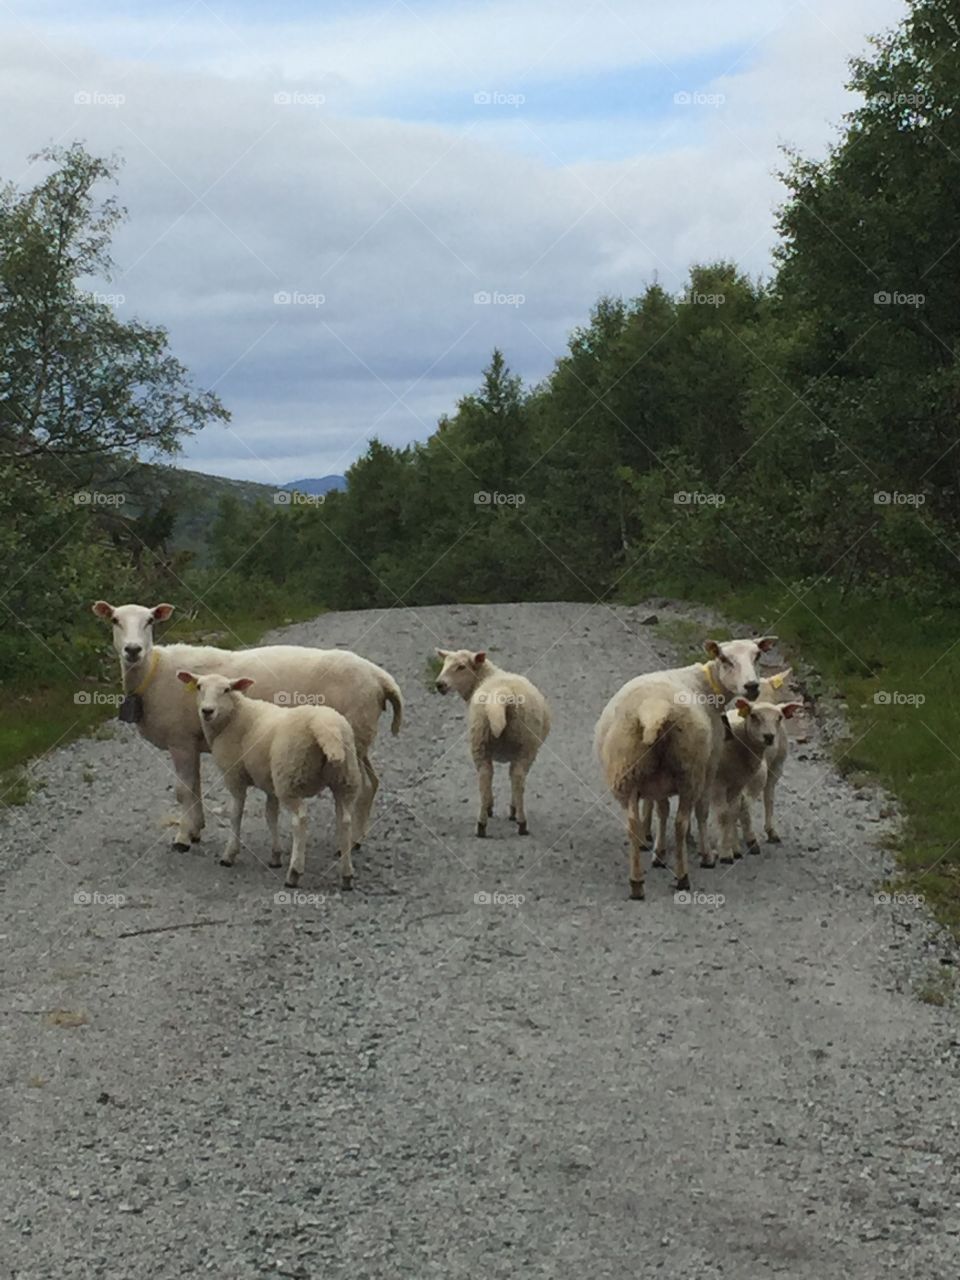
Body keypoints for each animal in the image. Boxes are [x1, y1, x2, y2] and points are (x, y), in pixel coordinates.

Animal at [91, 601, 402, 852]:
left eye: (150, 621)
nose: (133, 650)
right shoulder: (192, 741)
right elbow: (195, 786)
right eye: (115, 620)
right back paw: (359, 836)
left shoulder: (180, 740)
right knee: (372, 782)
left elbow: (183, 789)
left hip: (353, 732)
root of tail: (380, 678)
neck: (153, 674)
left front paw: (182, 837)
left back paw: (351, 842)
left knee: (362, 786)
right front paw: (195, 829)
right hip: (360, 736)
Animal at [177, 671, 361, 889]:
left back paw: (294, 873)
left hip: (290, 777)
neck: (234, 717)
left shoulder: (235, 776)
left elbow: (236, 814)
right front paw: (275, 856)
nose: (207, 711)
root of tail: (325, 729)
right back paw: (347, 875)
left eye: (227, 689)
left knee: (300, 820)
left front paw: (229, 855)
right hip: (345, 778)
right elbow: (270, 815)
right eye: (199, 686)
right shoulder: (269, 783)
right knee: (345, 820)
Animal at [434, 649, 551, 837]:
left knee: (486, 775)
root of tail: (502, 696)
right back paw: (518, 821)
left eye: (461, 667)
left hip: (481, 738)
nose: (439, 684)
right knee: (514, 776)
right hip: (525, 745)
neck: (486, 676)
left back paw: (482, 824)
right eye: (444, 664)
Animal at [595, 636, 777, 899]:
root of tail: (653, 712)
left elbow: (662, 811)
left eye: (758, 656)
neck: (707, 686)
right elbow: (701, 811)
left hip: (627, 772)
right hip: (689, 772)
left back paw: (636, 882)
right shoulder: (709, 766)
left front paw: (659, 853)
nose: (752, 686)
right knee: (680, 823)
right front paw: (706, 853)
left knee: (632, 824)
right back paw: (683, 877)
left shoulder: (658, 782)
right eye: (725, 659)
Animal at [711, 697, 803, 865]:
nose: (769, 736)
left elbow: (733, 811)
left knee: (767, 798)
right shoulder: (719, 784)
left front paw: (731, 847)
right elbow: (725, 814)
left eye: (779, 717)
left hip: (775, 766)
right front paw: (727, 851)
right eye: (753, 716)